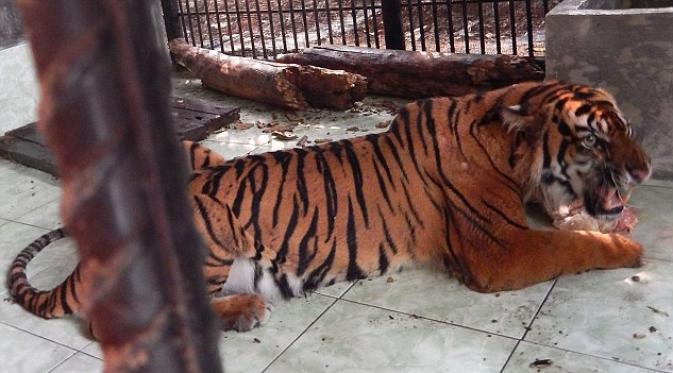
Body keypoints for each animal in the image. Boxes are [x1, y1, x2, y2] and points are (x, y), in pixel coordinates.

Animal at [5, 81, 652, 332]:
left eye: (624, 126)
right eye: (593, 139)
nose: (645, 171)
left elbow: (567, 224)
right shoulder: (500, 251)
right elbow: (571, 245)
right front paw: (627, 247)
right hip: (208, 222)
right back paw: (245, 311)